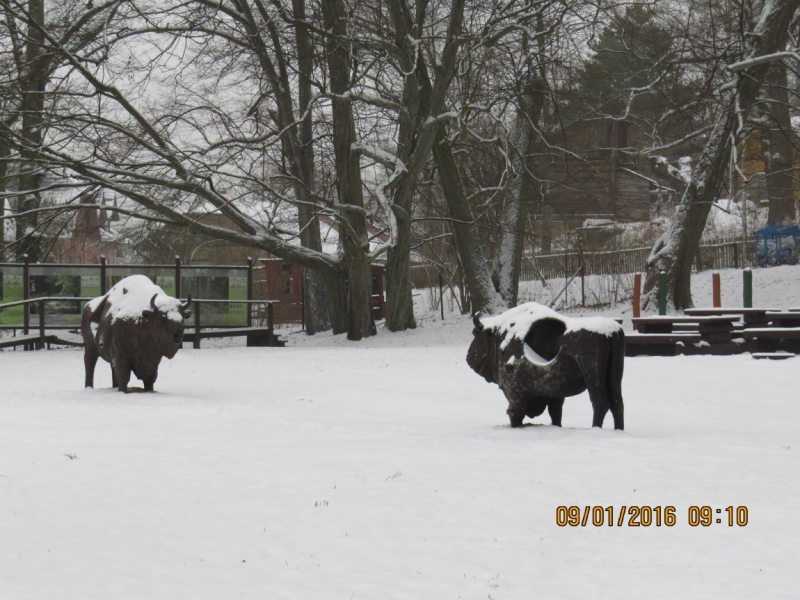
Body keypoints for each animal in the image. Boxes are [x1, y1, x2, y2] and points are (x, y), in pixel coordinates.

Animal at [466, 304, 628, 432]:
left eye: (475, 334)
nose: (468, 358)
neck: (499, 336)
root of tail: (613, 332)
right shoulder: (556, 393)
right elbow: (555, 412)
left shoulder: (515, 394)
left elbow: (515, 414)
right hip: (614, 377)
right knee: (617, 403)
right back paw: (618, 430)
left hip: (592, 375)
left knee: (600, 403)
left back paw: (595, 429)